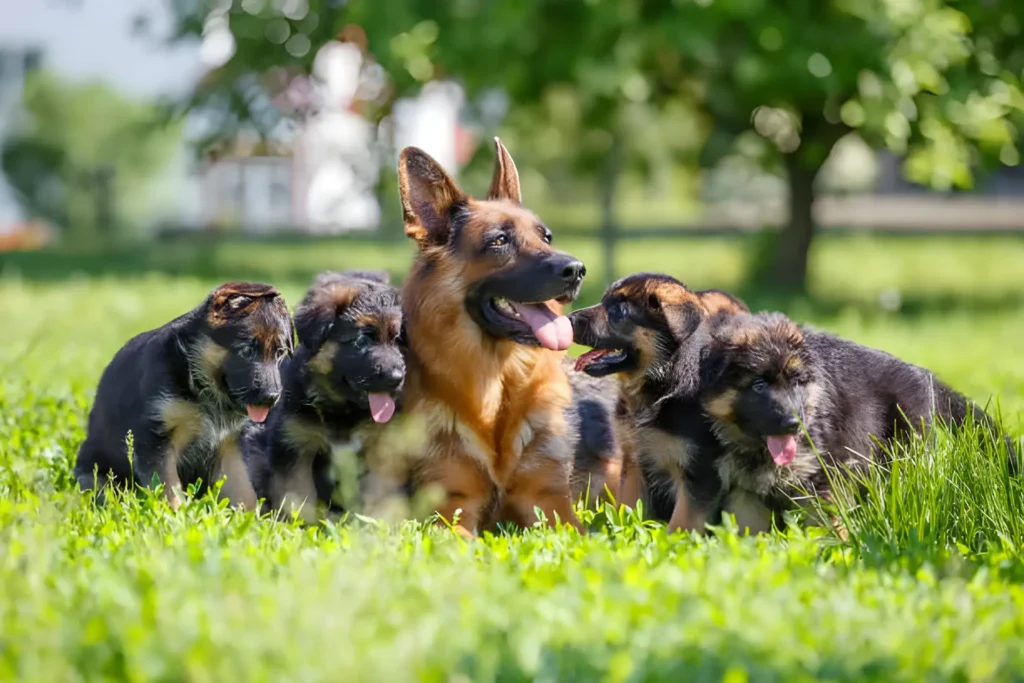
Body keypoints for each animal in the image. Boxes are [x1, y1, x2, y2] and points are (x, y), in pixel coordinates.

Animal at [74, 280, 292, 509]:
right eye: (246, 351)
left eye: (280, 353)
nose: (271, 397)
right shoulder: (156, 442)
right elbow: (169, 489)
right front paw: (176, 515)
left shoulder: (230, 447)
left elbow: (244, 493)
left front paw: (252, 518)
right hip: (95, 472)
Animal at [242, 268, 407, 524]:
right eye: (362, 339)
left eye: (397, 339)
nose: (396, 378)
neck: (342, 412)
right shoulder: (295, 447)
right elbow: (298, 495)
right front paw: (301, 524)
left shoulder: (380, 451)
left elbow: (376, 495)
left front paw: (376, 524)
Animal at [401, 140, 593, 540]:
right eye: (499, 241)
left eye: (546, 237)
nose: (578, 270)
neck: (499, 381)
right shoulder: (452, 508)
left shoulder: (551, 504)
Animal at [573, 274, 749, 532]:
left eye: (618, 311)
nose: (569, 319)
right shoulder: (634, 462)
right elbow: (627, 509)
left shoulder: (700, 471)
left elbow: (681, 523)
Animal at [700, 311, 1011, 532]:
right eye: (758, 385)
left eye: (797, 381)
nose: (793, 424)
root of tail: (923, 374)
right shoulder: (744, 494)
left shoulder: (825, 481)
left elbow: (824, 527)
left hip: (902, 457)